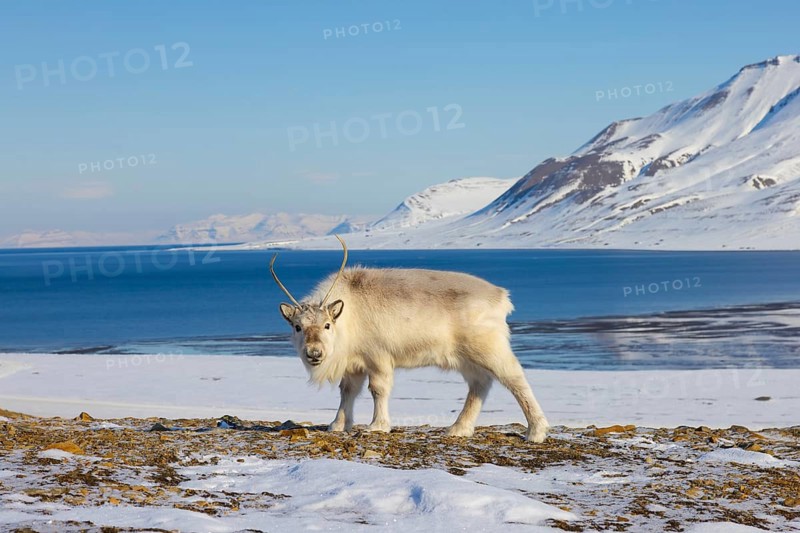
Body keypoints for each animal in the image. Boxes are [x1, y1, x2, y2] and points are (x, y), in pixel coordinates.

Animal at [269, 236, 549, 442]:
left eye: (327, 325)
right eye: (297, 326)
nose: (314, 353)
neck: (348, 317)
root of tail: (501, 296)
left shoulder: (378, 358)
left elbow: (378, 389)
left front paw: (377, 425)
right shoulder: (354, 364)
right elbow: (347, 391)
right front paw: (338, 424)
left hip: (489, 348)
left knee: (514, 378)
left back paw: (536, 432)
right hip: (466, 359)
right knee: (480, 384)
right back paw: (458, 428)